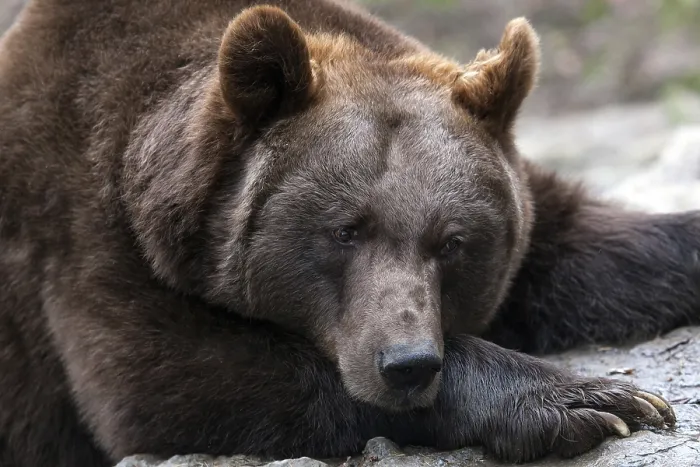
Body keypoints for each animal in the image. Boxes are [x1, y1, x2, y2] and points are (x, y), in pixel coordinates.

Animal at [0, 1, 698, 466]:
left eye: (453, 241)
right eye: (344, 230)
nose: (409, 364)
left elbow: (589, 247)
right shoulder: (87, 235)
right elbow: (170, 381)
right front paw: (593, 401)